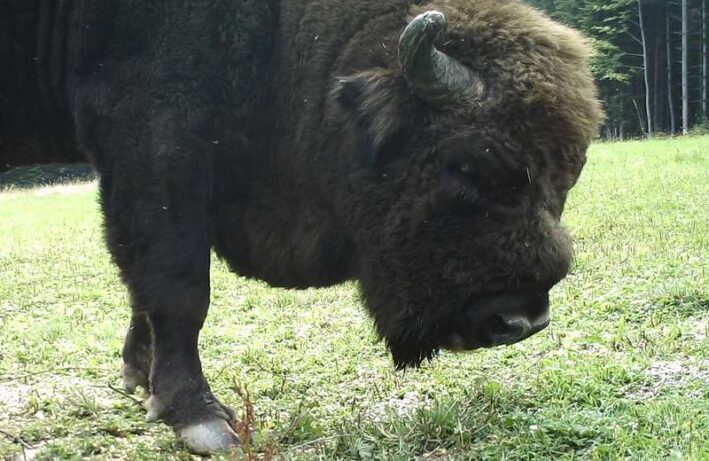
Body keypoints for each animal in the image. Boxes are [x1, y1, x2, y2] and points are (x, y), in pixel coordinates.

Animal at [1, 0, 604, 452]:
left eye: (570, 174)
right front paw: (202, 420)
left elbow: (140, 284)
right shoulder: (152, 145)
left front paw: (139, 380)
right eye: (467, 166)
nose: (519, 321)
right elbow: (178, 288)